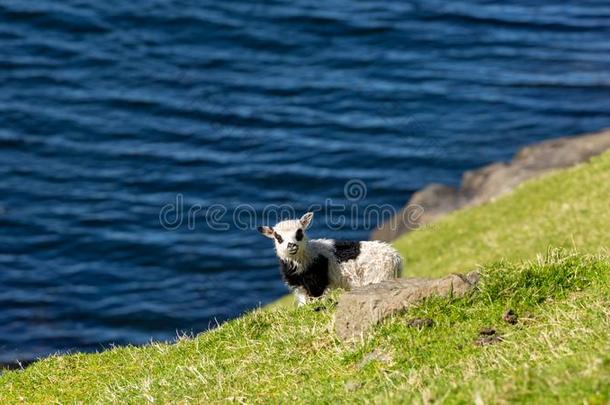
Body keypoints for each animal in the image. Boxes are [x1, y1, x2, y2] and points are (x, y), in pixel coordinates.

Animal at [255, 211, 400, 304]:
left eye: (300, 232)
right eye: (278, 237)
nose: (292, 245)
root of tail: (395, 257)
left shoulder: (318, 284)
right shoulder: (300, 288)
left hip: (378, 276)